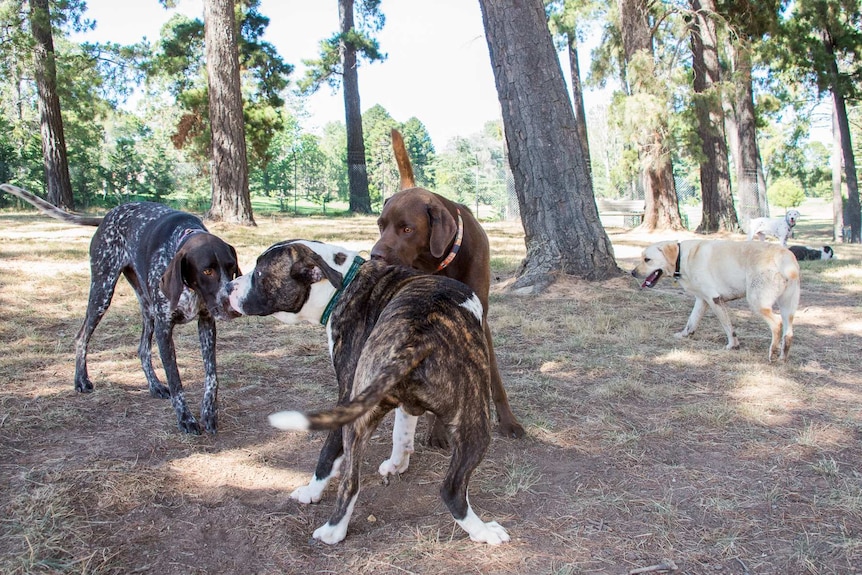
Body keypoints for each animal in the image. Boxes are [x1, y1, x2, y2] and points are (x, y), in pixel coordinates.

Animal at [1, 182, 243, 434]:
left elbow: (211, 376)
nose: (233, 307)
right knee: (82, 336)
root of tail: (107, 216)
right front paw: (185, 419)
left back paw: (154, 385)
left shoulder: (206, 323)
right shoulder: (164, 329)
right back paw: (81, 380)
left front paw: (209, 412)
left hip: (147, 309)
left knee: (142, 349)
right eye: (207, 270)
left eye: (231, 267)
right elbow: (176, 381)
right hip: (103, 292)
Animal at [226, 241, 510, 548]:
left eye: (260, 273)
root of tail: (417, 335)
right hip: (467, 424)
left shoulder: (345, 394)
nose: (228, 286)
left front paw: (311, 493)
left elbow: (329, 455)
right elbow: (402, 433)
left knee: (375, 482)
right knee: (423, 486)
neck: (342, 283)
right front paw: (397, 463)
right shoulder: (396, 402)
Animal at [628, 241, 804, 362]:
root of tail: (785, 256)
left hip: (757, 302)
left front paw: (732, 345)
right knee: (789, 333)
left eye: (647, 259)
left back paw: (772, 352)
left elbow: (728, 327)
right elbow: (691, 321)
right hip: (787, 308)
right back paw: (782, 357)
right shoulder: (702, 300)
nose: (632, 273)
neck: (682, 258)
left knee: (777, 324)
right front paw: (685, 335)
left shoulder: (714, 299)